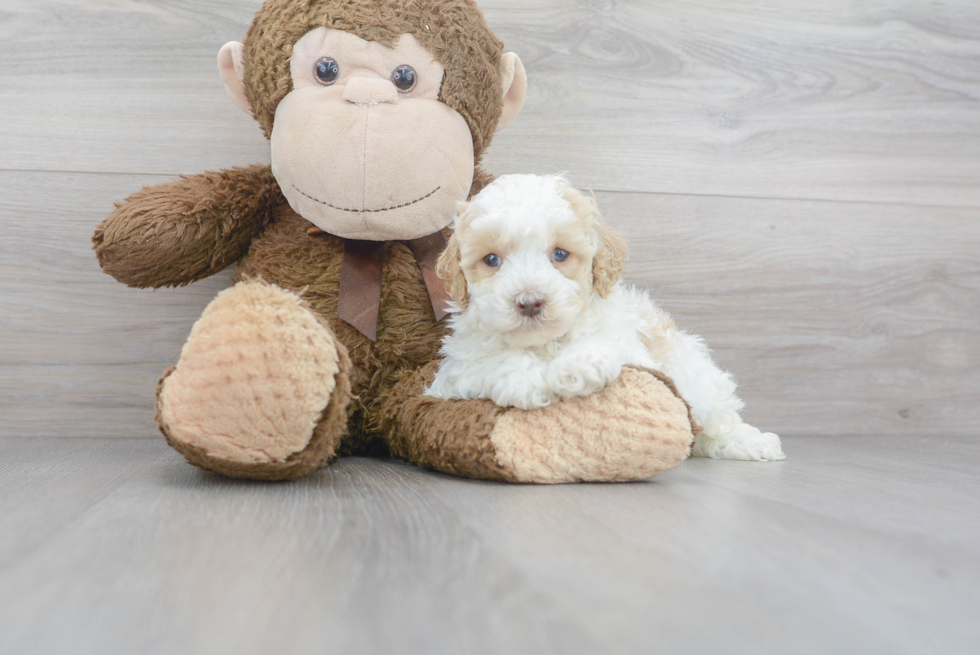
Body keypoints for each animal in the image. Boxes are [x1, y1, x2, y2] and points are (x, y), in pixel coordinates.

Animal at [424, 173, 784, 462]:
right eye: (491, 259)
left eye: (560, 254)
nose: (529, 302)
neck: (544, 345)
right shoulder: (453, 372)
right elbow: (491, 362)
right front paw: (527, 381)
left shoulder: (632, 348)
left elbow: (606, 347)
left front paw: (581, 365)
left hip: (697, 377)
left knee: (715, 421)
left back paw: (753, 443)